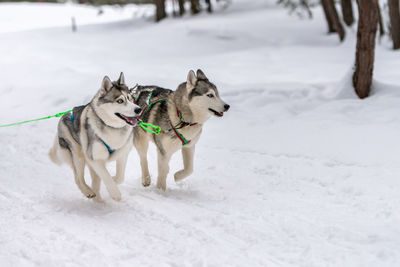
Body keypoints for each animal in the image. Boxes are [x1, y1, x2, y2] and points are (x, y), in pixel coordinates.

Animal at [49, 72, 141, 202]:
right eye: (120, 100)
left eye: (130, 98)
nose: (138, 109)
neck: (112, 128)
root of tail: (64, 116)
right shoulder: (95, 159)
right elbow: (106, 176)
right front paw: (115, 193)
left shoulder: (123, 154)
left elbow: (119, 177)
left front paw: (113, 180)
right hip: (78, 156)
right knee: (78, 178)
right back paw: (88, 192)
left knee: (94, 180)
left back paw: (98, 199)